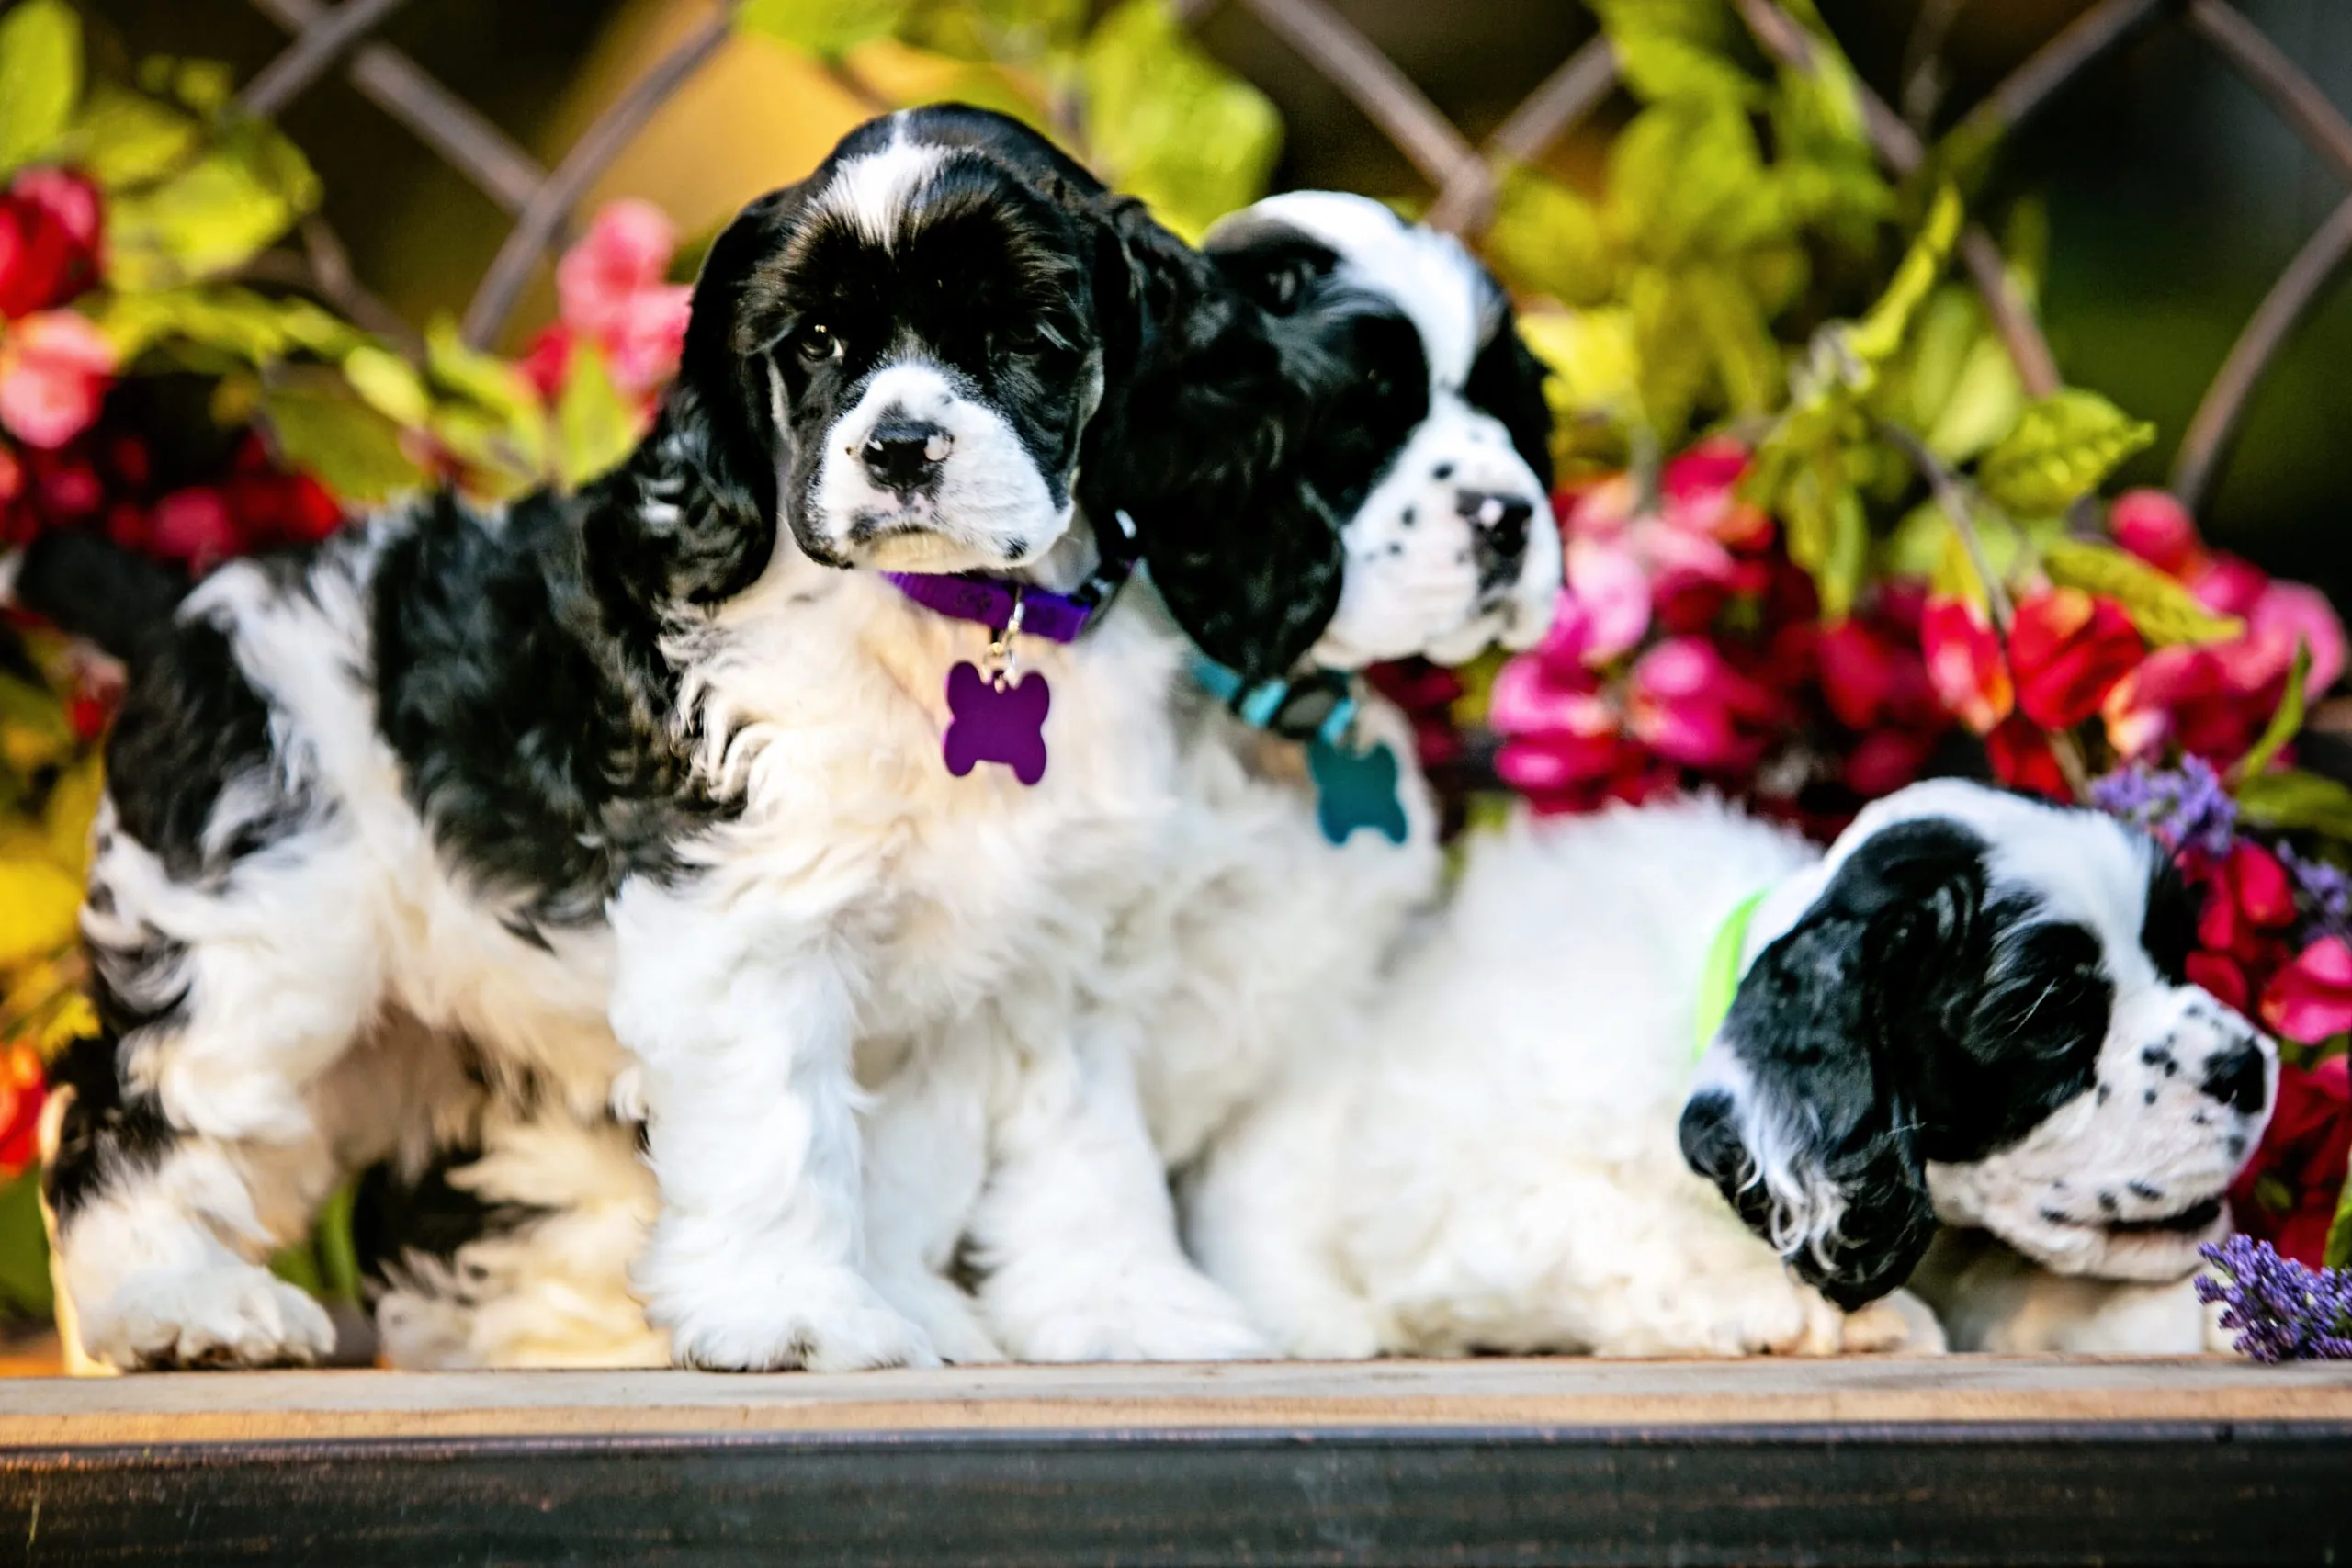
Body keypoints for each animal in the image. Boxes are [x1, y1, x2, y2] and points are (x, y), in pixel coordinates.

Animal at [37, 101, 1363, 1372]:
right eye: (817, 343)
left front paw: (1119, 1309)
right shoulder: (752, 921)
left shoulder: (1052, 963)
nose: (899, 447)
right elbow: (783, 1128)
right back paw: (178, 1302)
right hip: (263, 929)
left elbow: (1076, 1154)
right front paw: (797, 1315)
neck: (957, 629)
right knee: (132, 1108)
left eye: (1024, 331)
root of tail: (188, 604)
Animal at [1194, 784, 2277, 1363]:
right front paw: (1812, 1309)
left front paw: (2210, 1313)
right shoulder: (1472, 1227)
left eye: (2175, 952)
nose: (2249, 1069)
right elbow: (1623, 1236)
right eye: (2047, 1016)